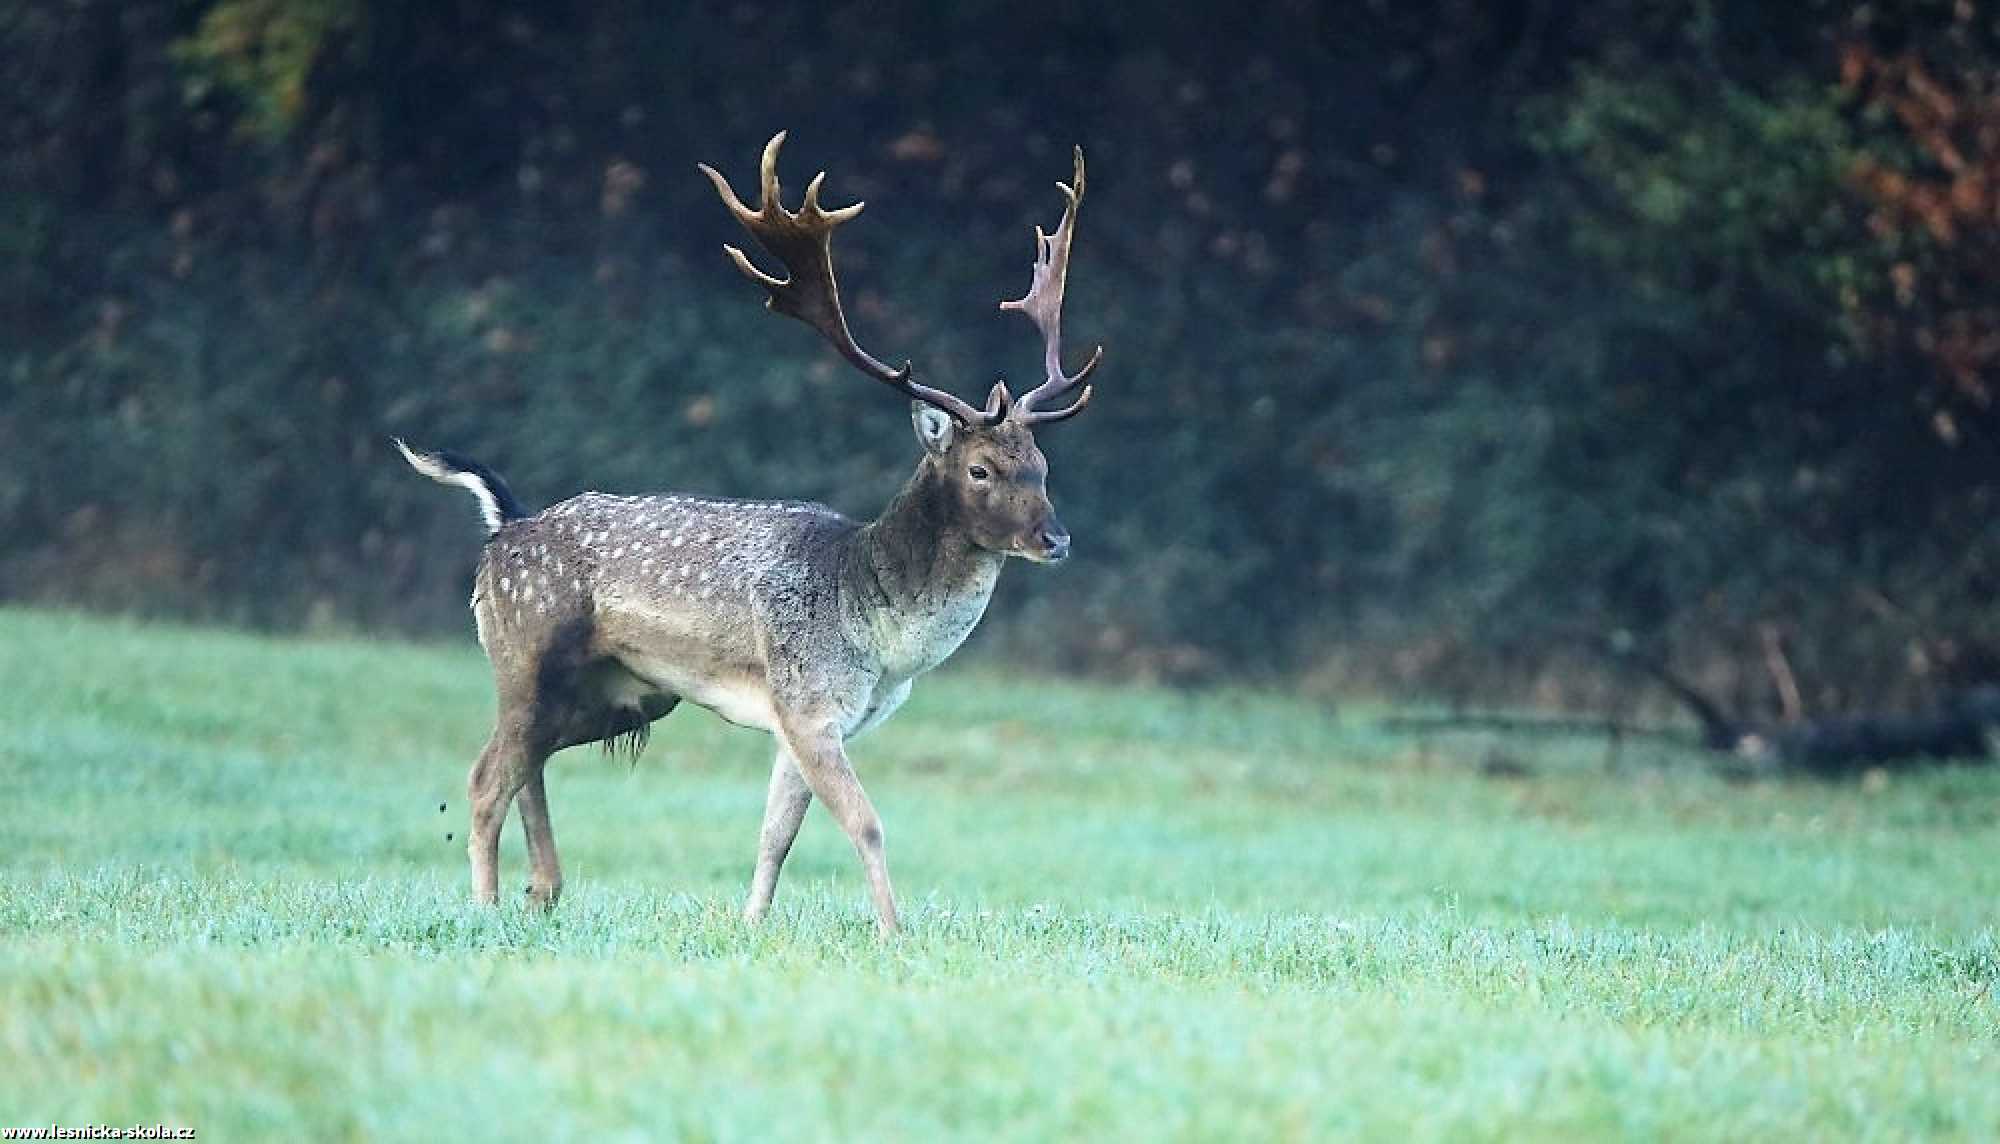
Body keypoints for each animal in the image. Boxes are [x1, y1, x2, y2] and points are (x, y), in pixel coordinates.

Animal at [396, 136, 1104, 940]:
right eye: (981, 468)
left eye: (1043, 464)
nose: (1057, 538)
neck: (879, 631)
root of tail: (505, 524)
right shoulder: (808, 704)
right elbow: (865, 824)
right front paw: (894, 934)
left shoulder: (812, 720)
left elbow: (777, 834)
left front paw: (753, 924)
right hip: (524, 652)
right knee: (486, 777)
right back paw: (487, 906)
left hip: (623, 691)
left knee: (528, 764)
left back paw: (544, 889)